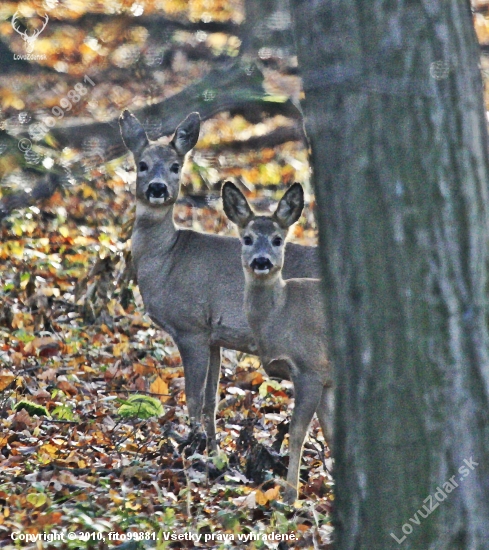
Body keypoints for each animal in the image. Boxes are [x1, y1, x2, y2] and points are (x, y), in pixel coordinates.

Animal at [119, 110, 320, 454]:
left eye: (176, 165)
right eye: (141, 164)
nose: (158, 188)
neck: (167, 259)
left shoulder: (191, 327)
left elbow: (193, 397)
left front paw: (192, 447)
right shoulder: (215, 335)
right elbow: (211, 399)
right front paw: (212, 450)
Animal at [221, 181, 332, 504]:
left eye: (277, 239)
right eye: (247, 238)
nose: (261, 261)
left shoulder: (311, 368)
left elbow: (297, 433)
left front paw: (290, 496)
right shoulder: (327, 379)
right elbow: (332, 433)